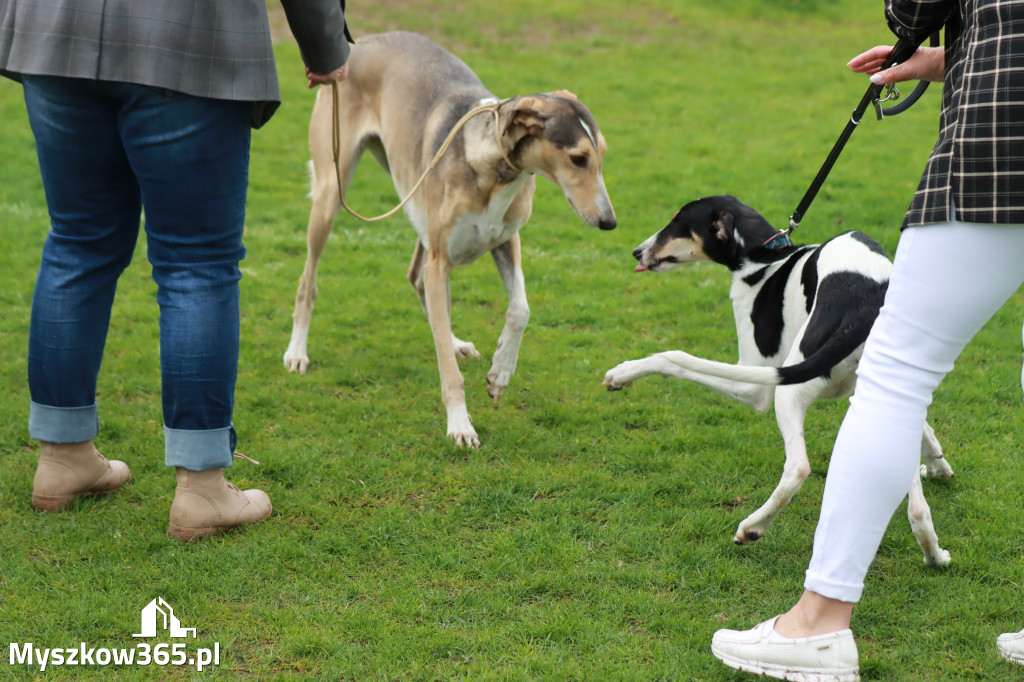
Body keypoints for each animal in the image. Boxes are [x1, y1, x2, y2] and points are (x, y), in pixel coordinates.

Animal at [606, 192, 950, 561]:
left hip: (787, 390)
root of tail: (863, 308)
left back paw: (753, 527)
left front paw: (623, 373)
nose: (637, 252)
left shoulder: (750, 382)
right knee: (916, 506)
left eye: (678, 222)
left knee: (798, 467)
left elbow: (675, 362)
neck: (765, 260)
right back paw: (934, 554)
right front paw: (938, 464)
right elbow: (925, 430)